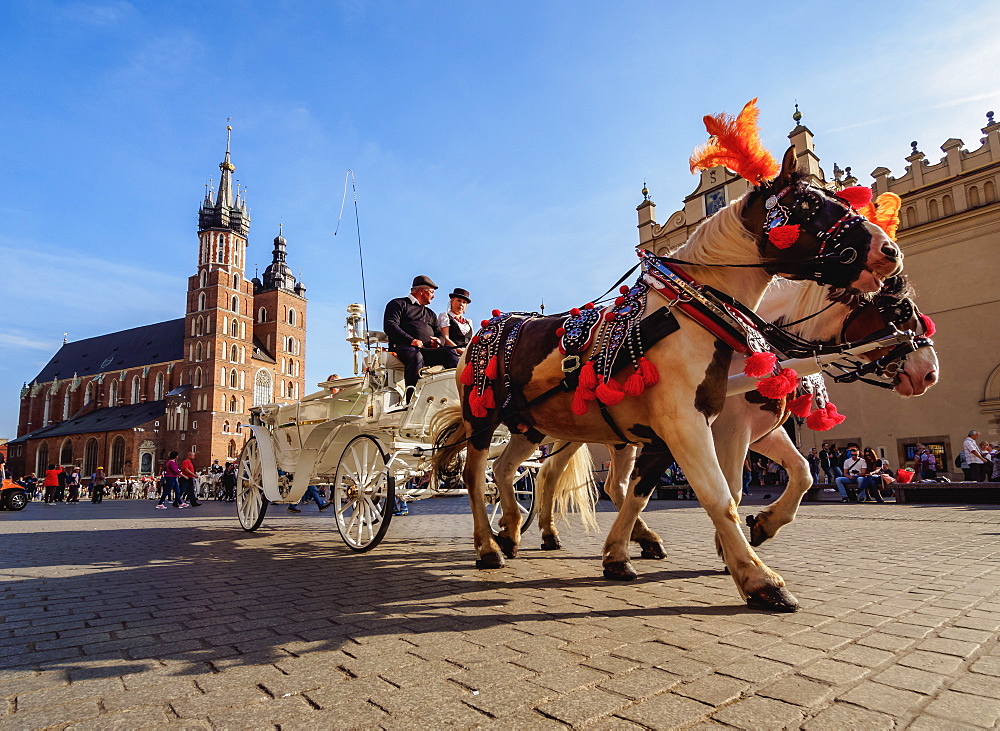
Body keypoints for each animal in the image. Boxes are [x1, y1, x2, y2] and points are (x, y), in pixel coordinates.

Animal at [434, 150, 904, 612]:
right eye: (808, 204)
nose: (890, 250)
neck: (691, 314)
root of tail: (487, 328)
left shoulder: (667, 436)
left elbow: (640, 493)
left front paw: (619, 555)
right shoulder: (689, 425)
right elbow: (720, 496)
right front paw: (758, 578)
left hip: (532, 426)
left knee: (509, 470)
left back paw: (512, 530)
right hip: (483, 417)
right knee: (476, 475)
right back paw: (488, 547)